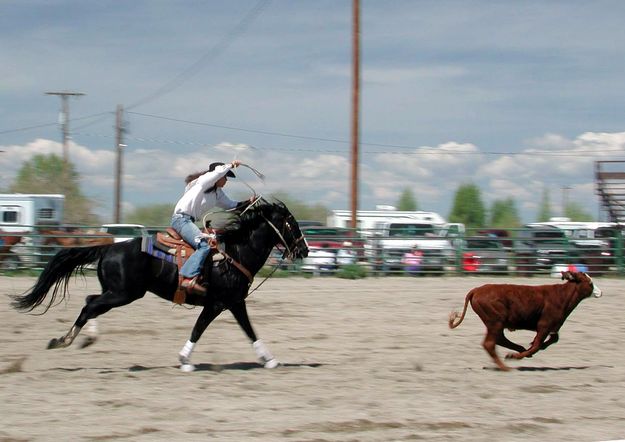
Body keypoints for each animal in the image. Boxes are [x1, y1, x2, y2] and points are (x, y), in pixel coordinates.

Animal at [11, 199, 308, 372]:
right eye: (292, 222)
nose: (304, 249)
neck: (234, 252)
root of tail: (108, 248)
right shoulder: (221, 303)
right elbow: (205, 328)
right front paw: (185, 360)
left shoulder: (231, 303)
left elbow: (243, 330)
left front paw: (268, 359)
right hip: (123, 294)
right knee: (89, 307)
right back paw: (64, 341)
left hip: (116, 292)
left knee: (90, 302)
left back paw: (85, 339)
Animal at [448, 272, 600, 370]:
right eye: (590, 283)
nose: (600, 292)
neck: (561, 296)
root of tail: (476, 290)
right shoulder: (544, 325)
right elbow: (537, 344)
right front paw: (518, 355)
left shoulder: (553, 327)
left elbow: (551, 340)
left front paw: (528, 349)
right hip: (495, 321)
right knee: (490, 343)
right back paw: (506, 366)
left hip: (494, 323)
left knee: (499, 339)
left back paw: (518, 351)